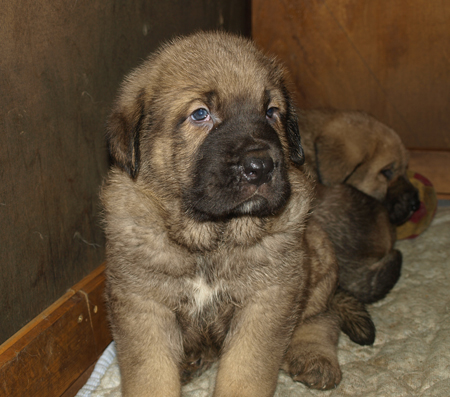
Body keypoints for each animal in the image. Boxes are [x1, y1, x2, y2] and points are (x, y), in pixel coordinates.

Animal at [101, 31, 372, 396]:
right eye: (200, 114)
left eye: (271, 112)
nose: (261, 166)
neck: (210, 240)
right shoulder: (142, 304)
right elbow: (151, 375)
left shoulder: (269, 297)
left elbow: (246, 370)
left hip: (317, 253)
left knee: (323, 316)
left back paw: (314, 356)